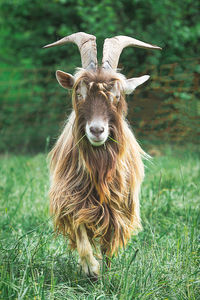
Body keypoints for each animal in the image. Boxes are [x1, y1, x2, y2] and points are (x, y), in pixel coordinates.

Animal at [43, 32, 161, 278]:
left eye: (116, 96)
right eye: (79, 94)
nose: (97, 130)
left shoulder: (117, 206)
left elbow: (109, 241)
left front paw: (105, 272)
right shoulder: (72, 197)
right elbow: (80, 230)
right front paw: (90, 268)